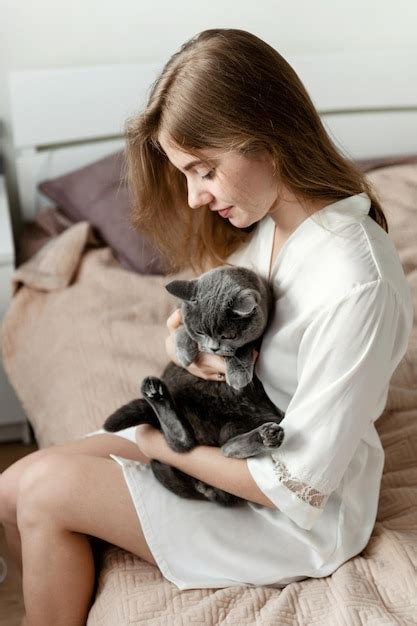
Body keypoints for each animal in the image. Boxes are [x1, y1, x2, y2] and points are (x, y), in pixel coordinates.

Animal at [103, 266, 284, 504]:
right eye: (200, 331)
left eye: (228, 335)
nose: (213, 348)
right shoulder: (179, 314)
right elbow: (181, 329)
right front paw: (184, 351)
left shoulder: (257, 336)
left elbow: (243, 348)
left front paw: (237, 373)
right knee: (184, 444)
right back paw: (156, 394)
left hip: (244, 422)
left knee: (224, 449)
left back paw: (267, 436)